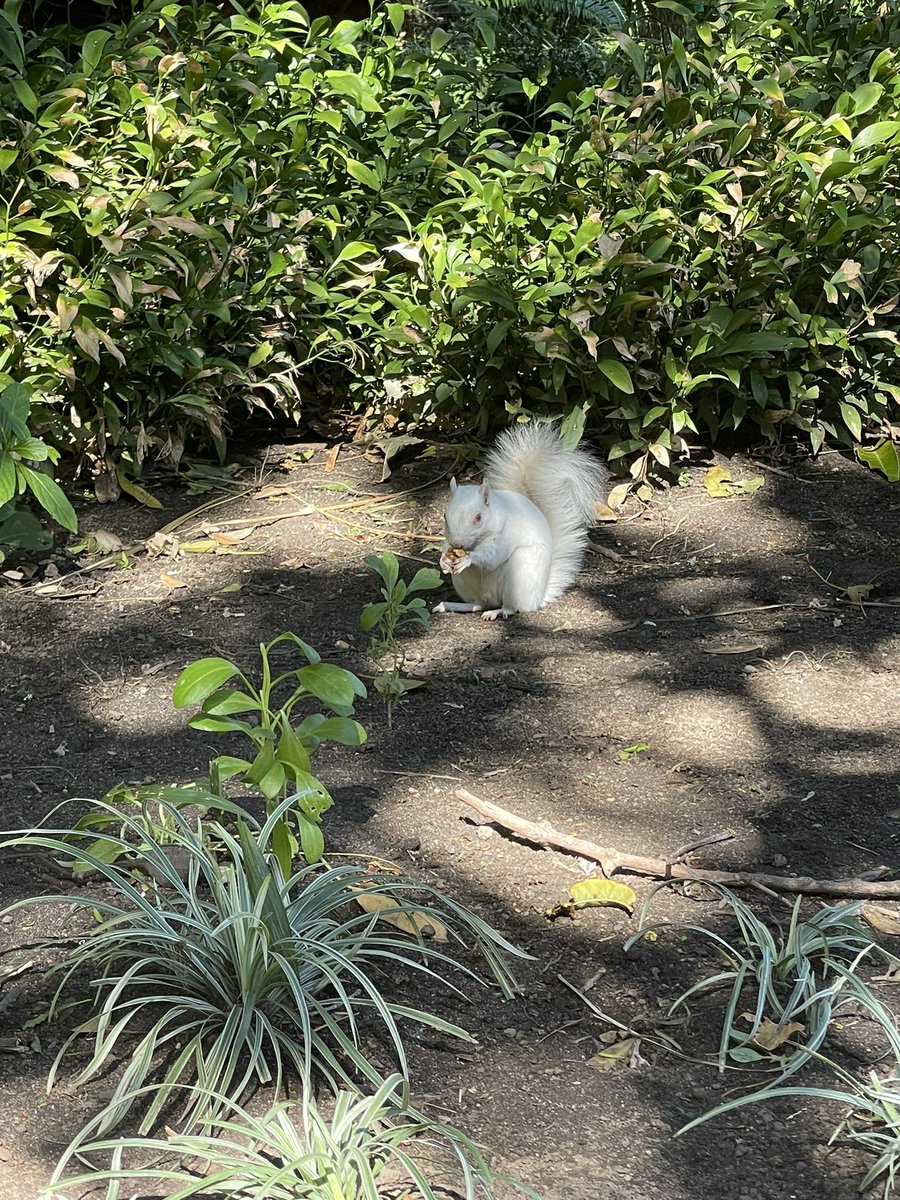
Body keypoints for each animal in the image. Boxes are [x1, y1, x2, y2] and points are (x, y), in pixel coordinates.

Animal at [434, 422, 609, 624]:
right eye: (445, 516)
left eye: (478, 518)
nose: (458, 543)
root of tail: (539, 597)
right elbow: (445, 547)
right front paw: (444, 559)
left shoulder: (504, 535)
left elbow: (491, 556)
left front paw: (469, 559)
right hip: (465, 583)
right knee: (477, 605)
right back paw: (449, 605)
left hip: (518, 577)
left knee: (511, 607)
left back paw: (497, 612)